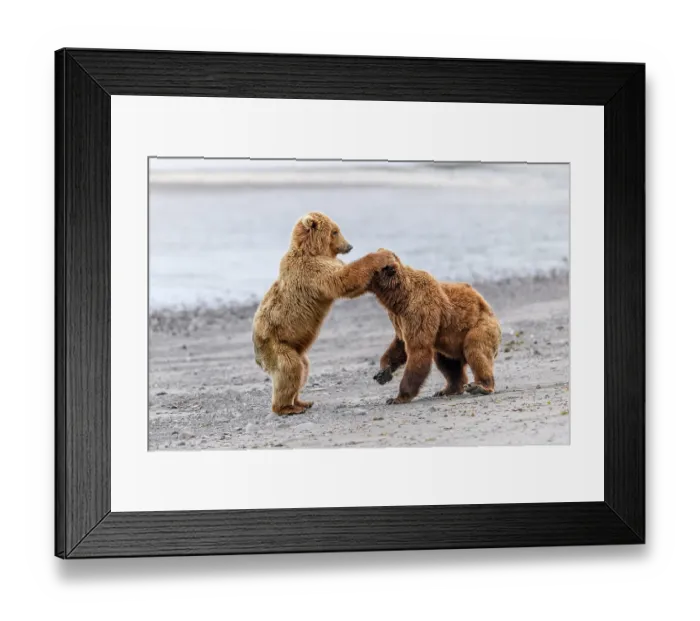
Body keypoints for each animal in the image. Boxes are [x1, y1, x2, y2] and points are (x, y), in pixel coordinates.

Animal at [253, 213, 394, 415]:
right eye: (335, 231)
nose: (349, 246)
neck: (312, 250)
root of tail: (257, 356)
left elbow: (350, 284)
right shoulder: (313, 271)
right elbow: (343, 279)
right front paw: (382, 255)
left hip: (296, 349)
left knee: (303, 369)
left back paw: (302, 401)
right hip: (276, 345)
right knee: (289, 369)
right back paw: (287, 407)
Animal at [368, 251, 502, 404]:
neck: (400, 300)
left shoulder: (420, 310)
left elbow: (418, 350)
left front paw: (398, 397)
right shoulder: (398, 319)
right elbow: (400, 344)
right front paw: (383, 372)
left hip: (480, 327)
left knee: (476, 350)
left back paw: (480, 386)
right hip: (452, 343)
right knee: (447, 361)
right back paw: (448, 389)